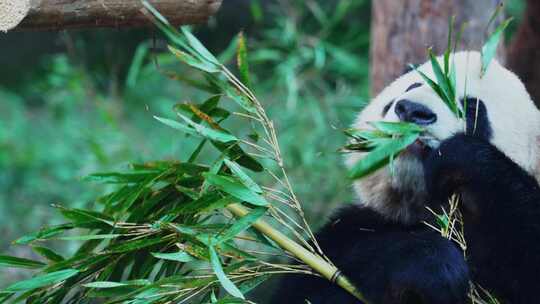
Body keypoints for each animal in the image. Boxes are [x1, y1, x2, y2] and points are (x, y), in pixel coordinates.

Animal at [272, 51, 540, 302]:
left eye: (471, 108)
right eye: (413, 86)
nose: (412, 110)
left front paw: (459, 155)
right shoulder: (345, 235)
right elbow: (311, 286)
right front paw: (434, 266)